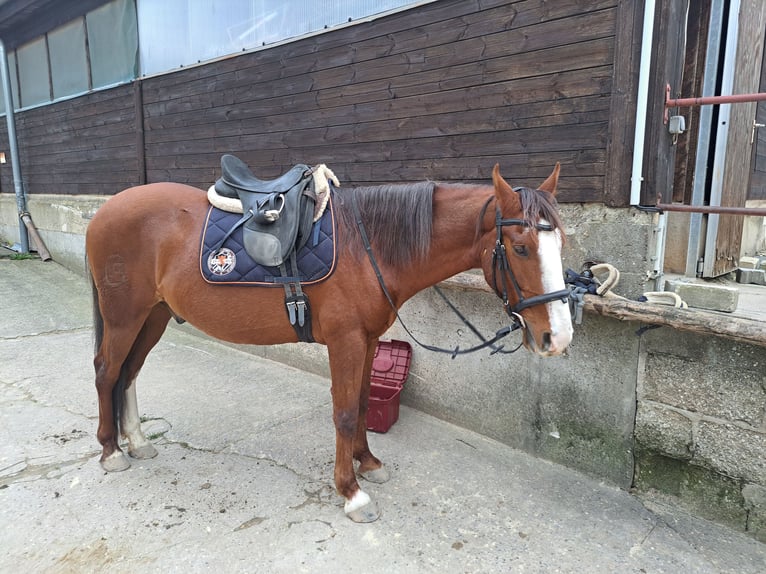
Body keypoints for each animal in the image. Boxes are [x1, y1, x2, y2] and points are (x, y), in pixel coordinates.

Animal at [85, 162, 576, 520]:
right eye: (520, 248)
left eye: (561, 245)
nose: (558, 337)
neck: (370, 245)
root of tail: (102, 214)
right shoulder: (345, 342)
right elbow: (342, 413)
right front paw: (351, 492)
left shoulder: (369, 341)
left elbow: (360, 405)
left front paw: (368, 463)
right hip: (125, 317)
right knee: (107, 371)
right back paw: (111, 451)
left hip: (153, 316)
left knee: (129, 373)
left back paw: (137, 440)